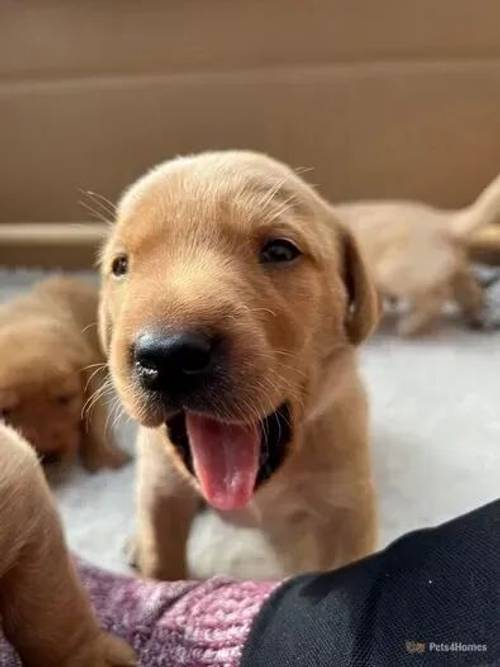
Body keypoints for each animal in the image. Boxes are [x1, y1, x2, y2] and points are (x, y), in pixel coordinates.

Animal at [0, 280, 129, 472]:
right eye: (5, 410)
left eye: (65, 398)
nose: (49, 456)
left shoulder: (90, 379)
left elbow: (96, 420)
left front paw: (105, 457)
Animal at [98, 151, 378, 580]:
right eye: (121, 265)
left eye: (280, 251)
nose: (168, 355)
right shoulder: (160, 489)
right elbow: (162, 557)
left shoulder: (348, 508)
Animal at [334, 172, 500, 336]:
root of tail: (444, 222)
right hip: (456, 273)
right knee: (472, 294)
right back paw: (478, 317)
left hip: (395, 274)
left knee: (439, 296)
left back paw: (408, 325)